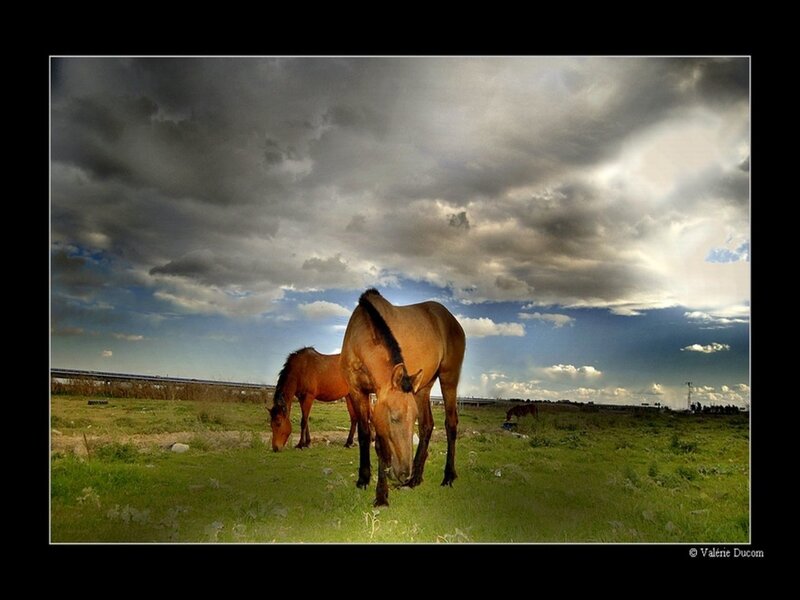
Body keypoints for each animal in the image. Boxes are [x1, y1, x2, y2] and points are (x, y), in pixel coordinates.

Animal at [340, 288, 466, 506]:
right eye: (394, 418)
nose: (404, 474)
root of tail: (452, 320)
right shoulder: (358, 392)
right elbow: (365, 435)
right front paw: (364, 479)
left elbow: (380, 446)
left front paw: (381, 495)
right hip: (423, 388)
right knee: (427, 425)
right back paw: (416, 478)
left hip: (449, 378)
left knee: (451, 424)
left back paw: (447, 476)